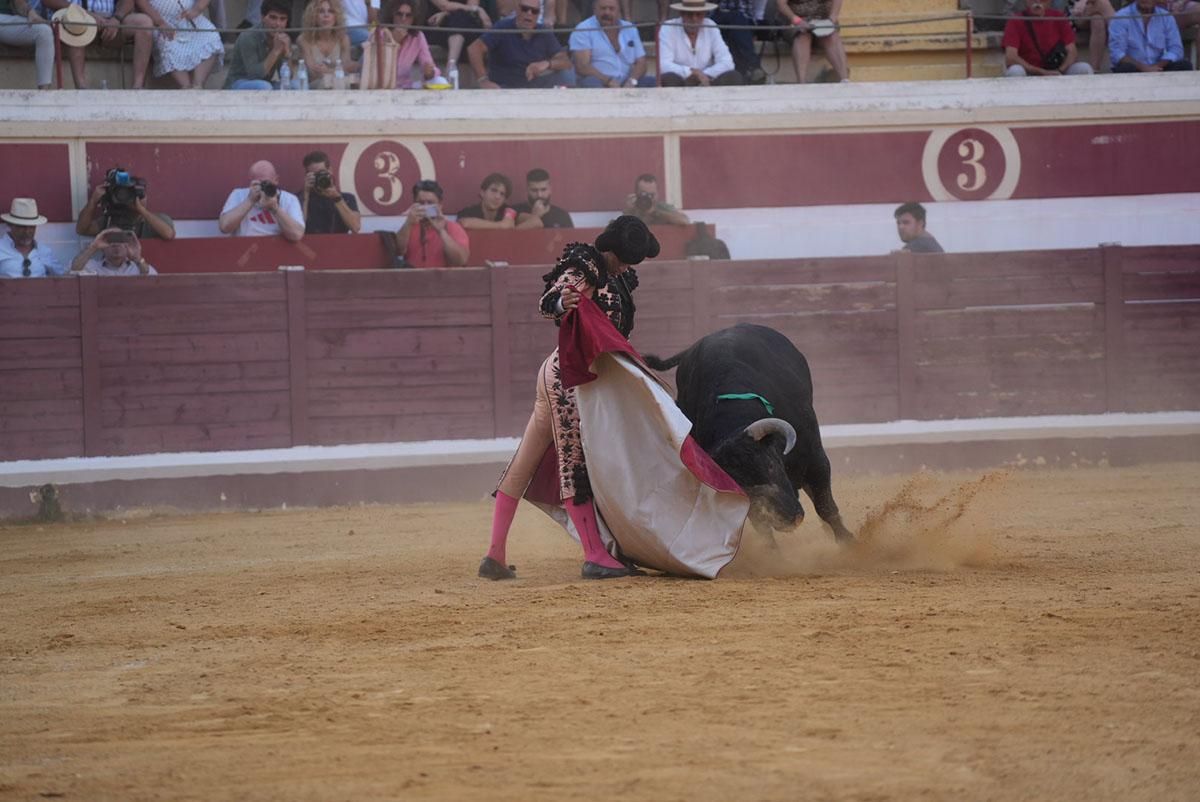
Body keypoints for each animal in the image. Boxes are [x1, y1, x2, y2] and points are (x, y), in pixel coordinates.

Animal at [643, 321, 859, 542]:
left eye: (771, 465)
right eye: (743, 489)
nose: (792, 519)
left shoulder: (815, 458)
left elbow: (826, 507)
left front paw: (850, 544)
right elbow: (764, 531)